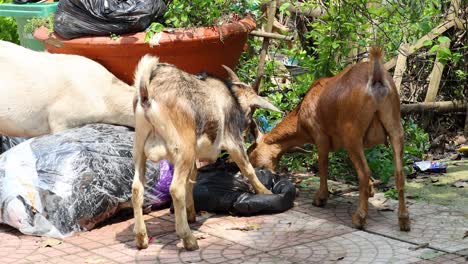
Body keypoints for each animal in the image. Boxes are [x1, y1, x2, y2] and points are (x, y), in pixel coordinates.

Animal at [131, 55, 282, 250]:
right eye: (250, 111)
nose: (248, 128)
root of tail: (147, 95)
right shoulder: (232, 140)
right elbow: (247, 168)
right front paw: (265, 192)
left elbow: (192, 178)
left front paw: (191, 214)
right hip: (184, 149)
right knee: (175, 189)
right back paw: (188, 239)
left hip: (140, 148)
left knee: (137, 188)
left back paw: (141, 238)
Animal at [249, 47, 410, 231]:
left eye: (251, 152)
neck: (300, 116)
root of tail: (376, 77)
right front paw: (370, 190)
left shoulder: (320, 136)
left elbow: (323, 165)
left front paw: (320, 198)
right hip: (395, 126)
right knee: (399, 172)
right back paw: (404, 220)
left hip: (352, 133)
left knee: (364, 172)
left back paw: (359, 218)